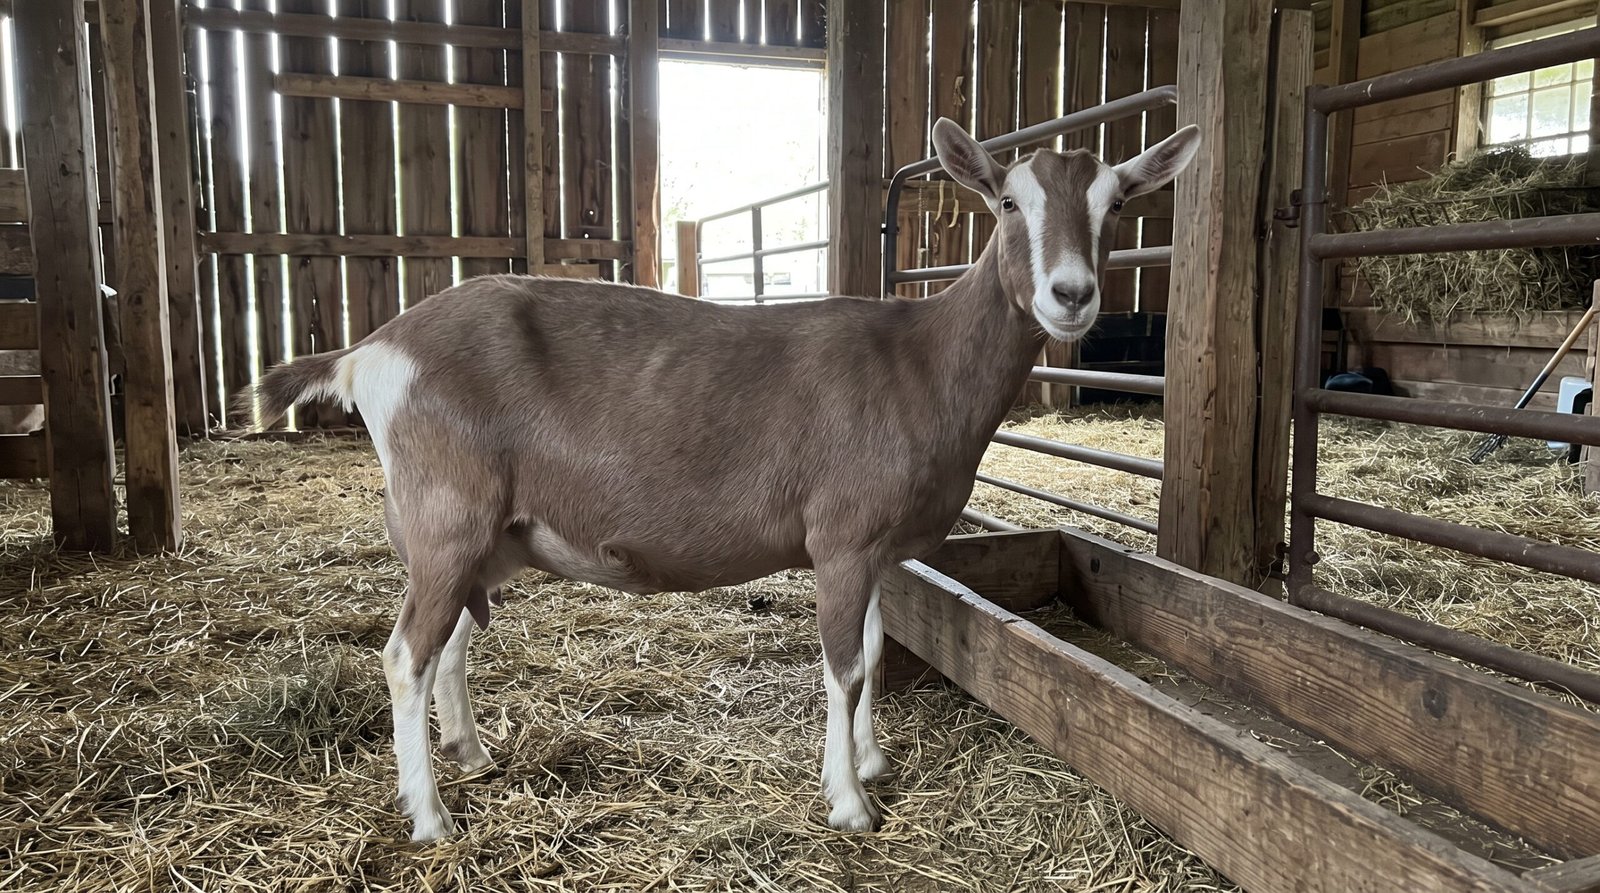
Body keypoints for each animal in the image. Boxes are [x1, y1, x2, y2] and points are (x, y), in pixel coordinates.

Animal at [241, 118, 1200, 841]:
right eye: (1006, 201)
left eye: (1118, 202)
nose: (1071, 294)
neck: (919, 361)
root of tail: (373, 349)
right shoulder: (841, 535)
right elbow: (844, 665)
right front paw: (849, 801)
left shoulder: (880, 549)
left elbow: (875, 651)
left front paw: (873, 759)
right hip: (447, 509)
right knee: (405, 653)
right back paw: (430, 818)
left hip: (483, 532)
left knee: (449, 643)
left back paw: (471, 755)